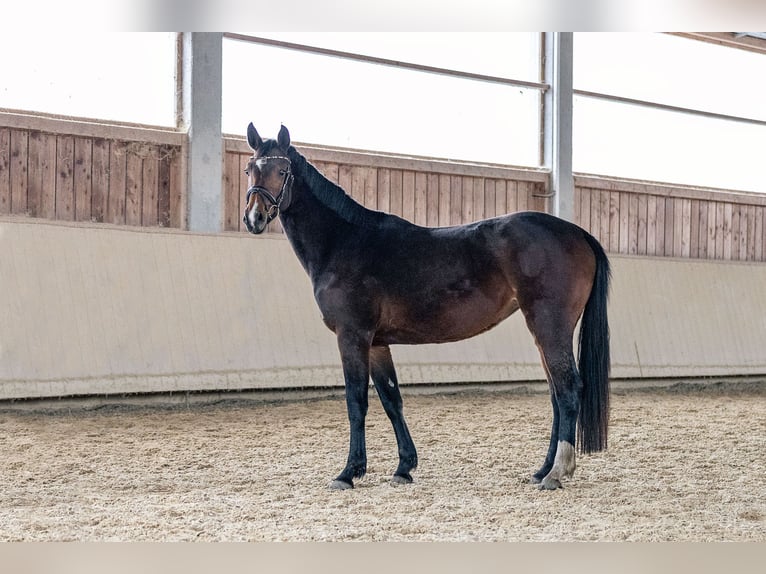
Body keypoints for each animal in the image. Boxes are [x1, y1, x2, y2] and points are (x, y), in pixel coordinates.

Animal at [242, 124, 612, 492]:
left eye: (282, 171)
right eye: (249, 170)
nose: (254, 218)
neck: (344, 242)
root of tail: (578, 233)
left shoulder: (353, 336)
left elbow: (356, 401)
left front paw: (348, 472)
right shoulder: (377, 343)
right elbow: (392, 400)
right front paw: (404, 467)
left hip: (549, 326)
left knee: (568, 391)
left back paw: (556, 472)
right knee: (555, 396)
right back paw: (542, 469)